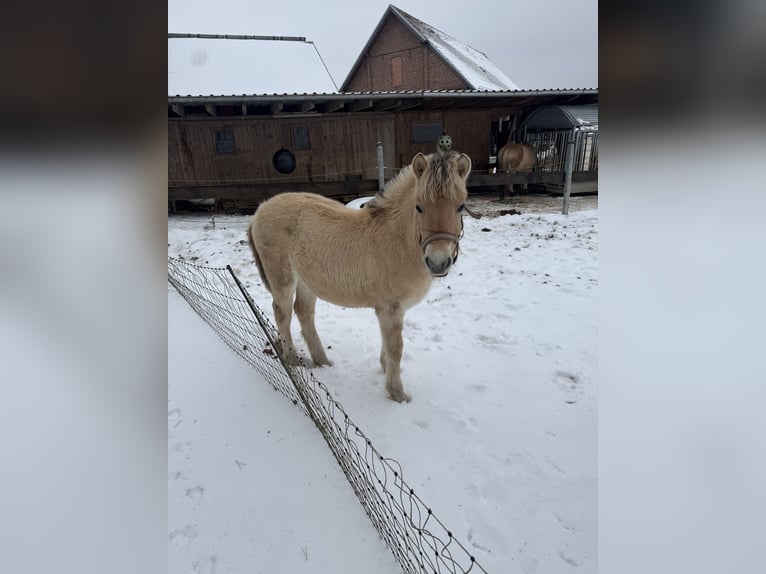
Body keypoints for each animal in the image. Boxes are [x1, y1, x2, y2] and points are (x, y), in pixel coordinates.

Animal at [247, 150, 471, 403]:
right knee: (282, 313)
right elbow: (396, 347)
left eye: (460, 206)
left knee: (303, 312)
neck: (398, 241)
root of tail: (259, 210)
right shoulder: (390, 308)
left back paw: (322, 361)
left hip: (307, 281)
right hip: (283, 277)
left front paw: (384, 368)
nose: (438, 262)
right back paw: (292, 359)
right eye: (419, 207)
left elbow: (387, 342)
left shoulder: (393, 309)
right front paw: (397, 393)